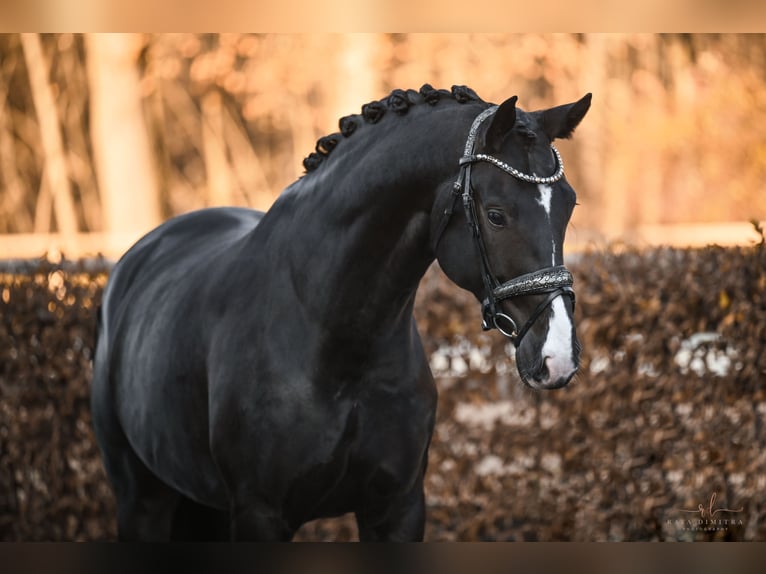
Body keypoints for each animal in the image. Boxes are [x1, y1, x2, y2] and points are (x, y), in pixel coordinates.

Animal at [91, 83, 592, 544]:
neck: (334, 340)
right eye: (496, 215)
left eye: (569, 205)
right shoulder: (260, 515)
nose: (558, 357)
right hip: (142, 499)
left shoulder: (397, 508)